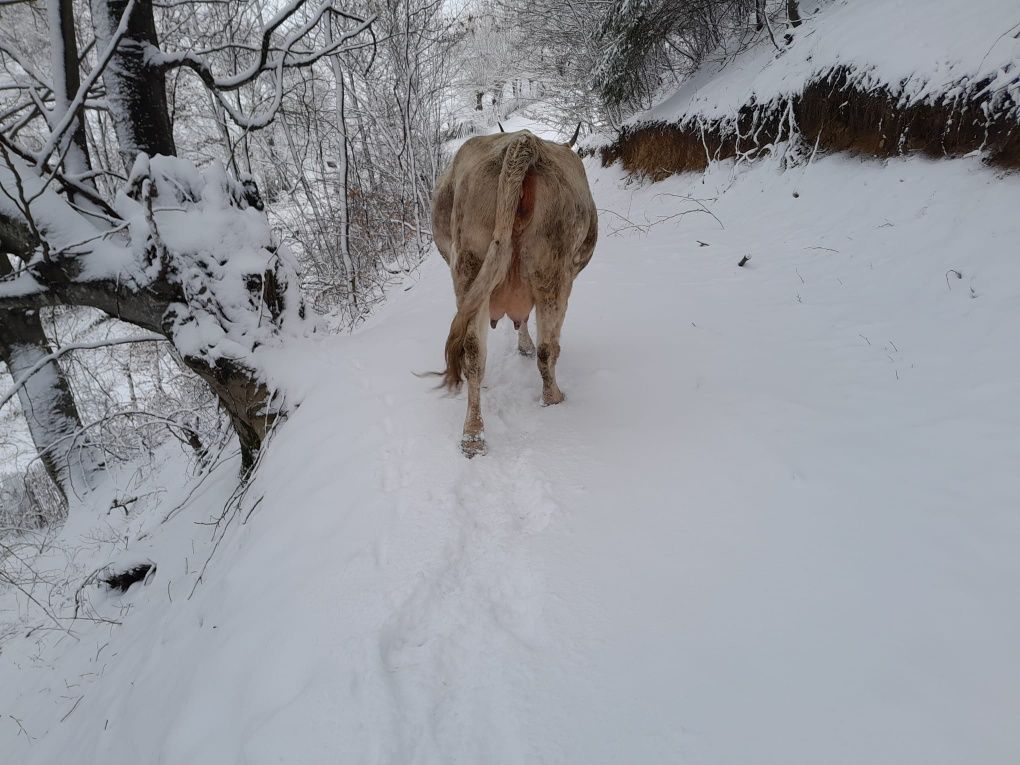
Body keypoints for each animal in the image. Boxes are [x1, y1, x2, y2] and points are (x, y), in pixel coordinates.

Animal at [430, 129, 595, 459]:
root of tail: (522, 143)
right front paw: (525, 347)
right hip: (553, 272)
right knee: (548, 348)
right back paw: (554, 397)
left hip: (469, 268)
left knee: (473, 354)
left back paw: (473, 437)